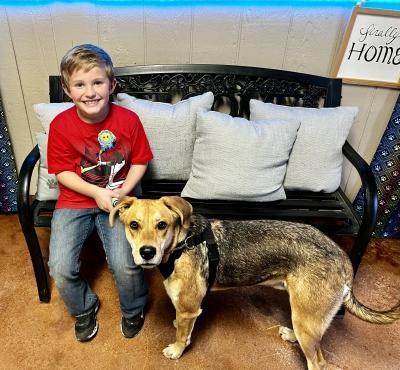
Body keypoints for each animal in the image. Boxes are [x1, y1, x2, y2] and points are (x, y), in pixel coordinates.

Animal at [109, 195, 400, 368]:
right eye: (133, 225)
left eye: (162, 225)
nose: (147, 252)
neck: (182, 243)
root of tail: (343, 258)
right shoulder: (185, 310)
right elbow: (181, 326)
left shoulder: (190, 309)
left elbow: (183, 335)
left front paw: (177, 351)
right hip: (305, 317)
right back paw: (291, 334)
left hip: (308, 321)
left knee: (318, 362)